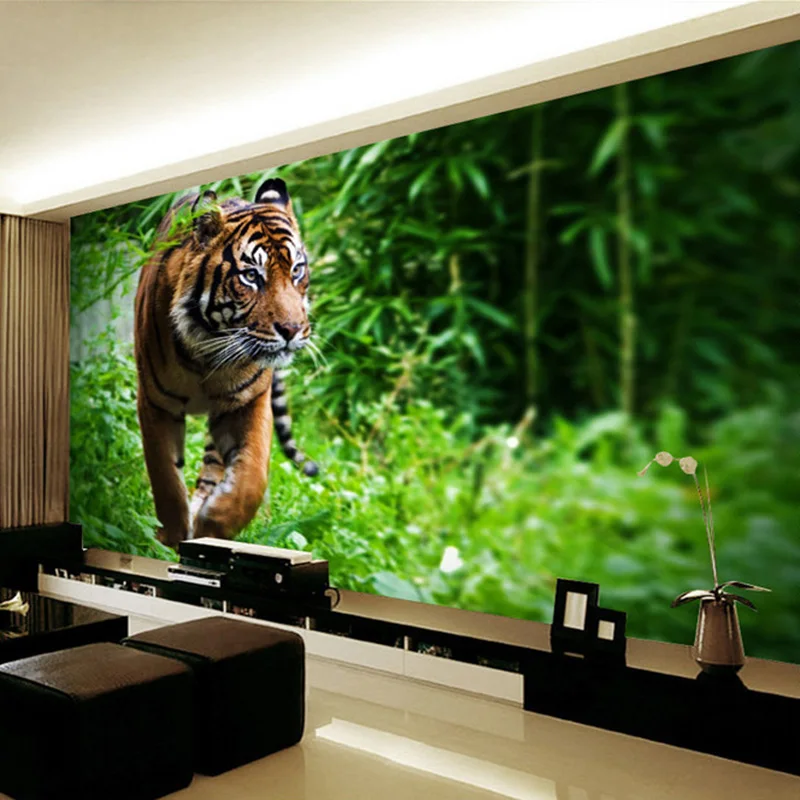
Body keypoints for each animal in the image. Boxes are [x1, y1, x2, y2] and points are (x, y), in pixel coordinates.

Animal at [133, 178, 318, 548]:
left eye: (297, 270)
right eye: (251, 276)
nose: (293, 330)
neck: (207, 355)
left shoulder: (249, 402)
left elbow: (251, 478)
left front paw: (213, 527)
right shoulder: (155, 403)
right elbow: (165, 476)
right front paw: (170, 537)